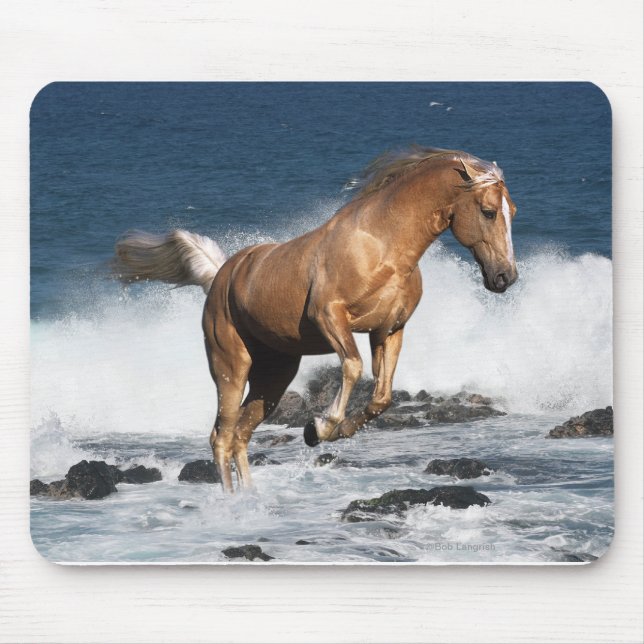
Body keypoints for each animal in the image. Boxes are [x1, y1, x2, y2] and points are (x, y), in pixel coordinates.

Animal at [113, 146, 518, 492]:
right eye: (488, 211)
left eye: (512, 210)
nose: (506, 277)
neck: (382, 246)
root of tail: (219, 277)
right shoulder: (330, 317)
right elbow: (353, 366)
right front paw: (320, 427)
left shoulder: (389, 330)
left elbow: (382, 397)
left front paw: (332, 430)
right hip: (230, 366)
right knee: (221, 436)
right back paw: (231, 507)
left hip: (274, 377)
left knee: (241, 434)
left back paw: (252, 500)